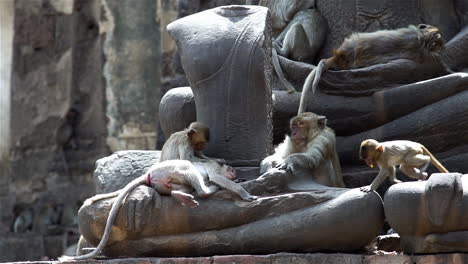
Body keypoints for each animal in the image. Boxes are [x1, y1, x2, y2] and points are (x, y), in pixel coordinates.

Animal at [59, 158, 258, 260]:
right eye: (231, 169)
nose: (235, 173)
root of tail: (150, 174)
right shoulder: (215, 169)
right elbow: (217, 177)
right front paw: (244, 193)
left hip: (165, 181)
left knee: (183, 187)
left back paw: (180, 195)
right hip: (171, 169)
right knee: (190, 170)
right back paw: (207, 190)